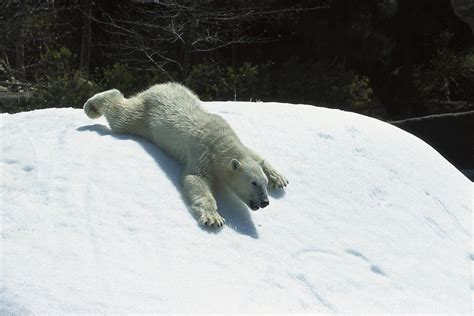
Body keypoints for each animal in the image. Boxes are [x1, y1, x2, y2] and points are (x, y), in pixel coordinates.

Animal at [83, 82, 286, 227]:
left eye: (263, 182)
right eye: (253, 183)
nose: (265, 202)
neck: (220, 141)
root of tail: (156, 88)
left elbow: (255, 154)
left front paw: (279, 178)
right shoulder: (203, 152)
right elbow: (195, 179)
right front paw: (213, 218)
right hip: (144, 118)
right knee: (121, 116)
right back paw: (92, 106)